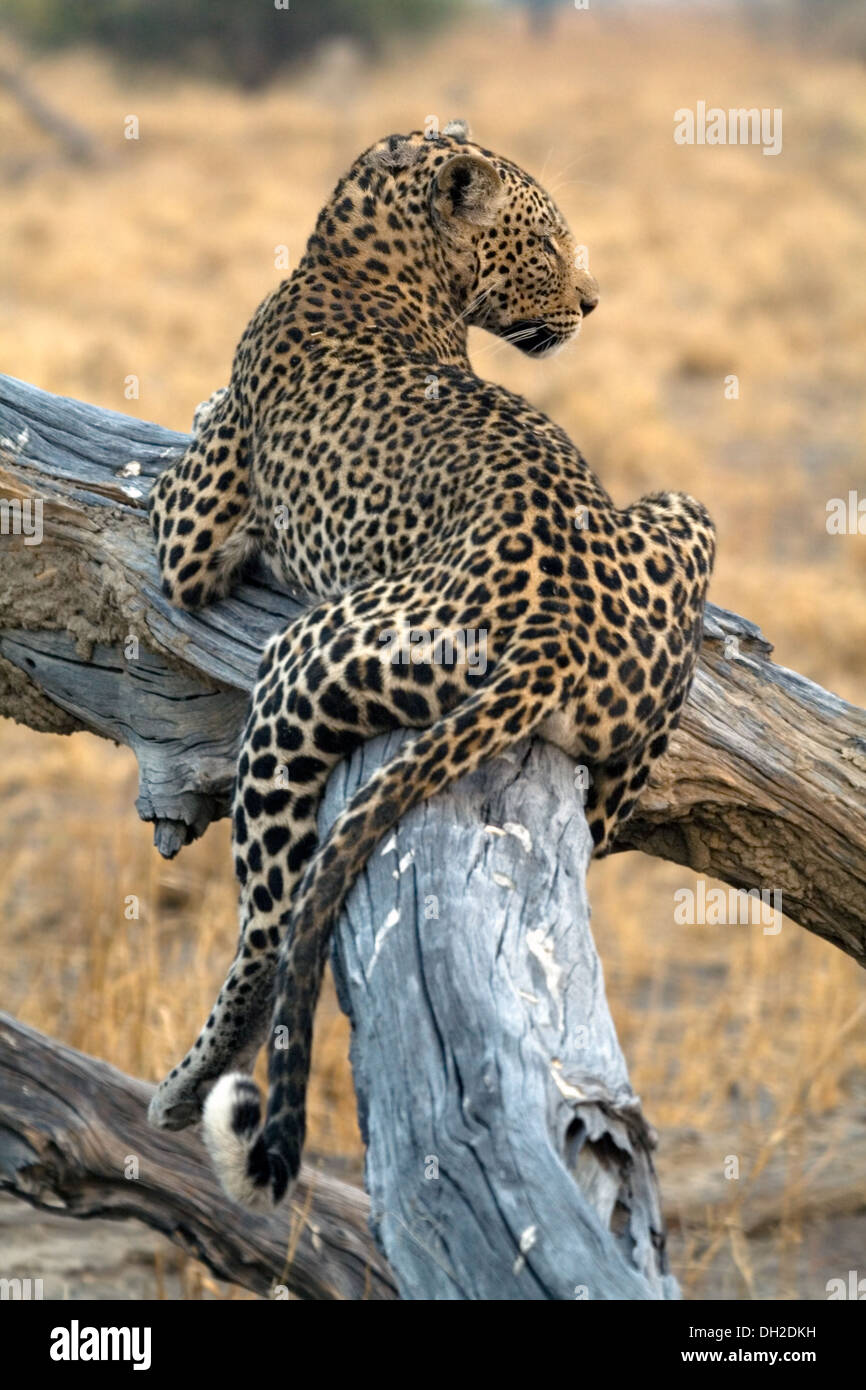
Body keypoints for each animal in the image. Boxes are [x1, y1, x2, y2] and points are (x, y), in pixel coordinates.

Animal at [146, 120, 715, 1209]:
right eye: (549, 244)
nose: (592, 302)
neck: (358, 254)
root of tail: (555, 633)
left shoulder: (187, 541)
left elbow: (175, 477)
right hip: (683, 513)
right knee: (616, 792)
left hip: (304, 660)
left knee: (268, 931)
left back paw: (191, 1081)